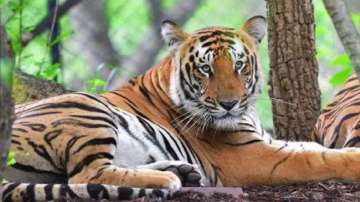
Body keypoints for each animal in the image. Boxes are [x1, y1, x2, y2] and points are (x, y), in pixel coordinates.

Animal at [3, 16, 360, 202]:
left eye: (239, 65)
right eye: (205, 69)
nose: (229, 104)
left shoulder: (268, 142)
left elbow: (311, 146)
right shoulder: (256, 156)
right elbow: (319, 158)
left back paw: (181, 172)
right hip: (85, 107)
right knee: (87, 174)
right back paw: (167, 180)